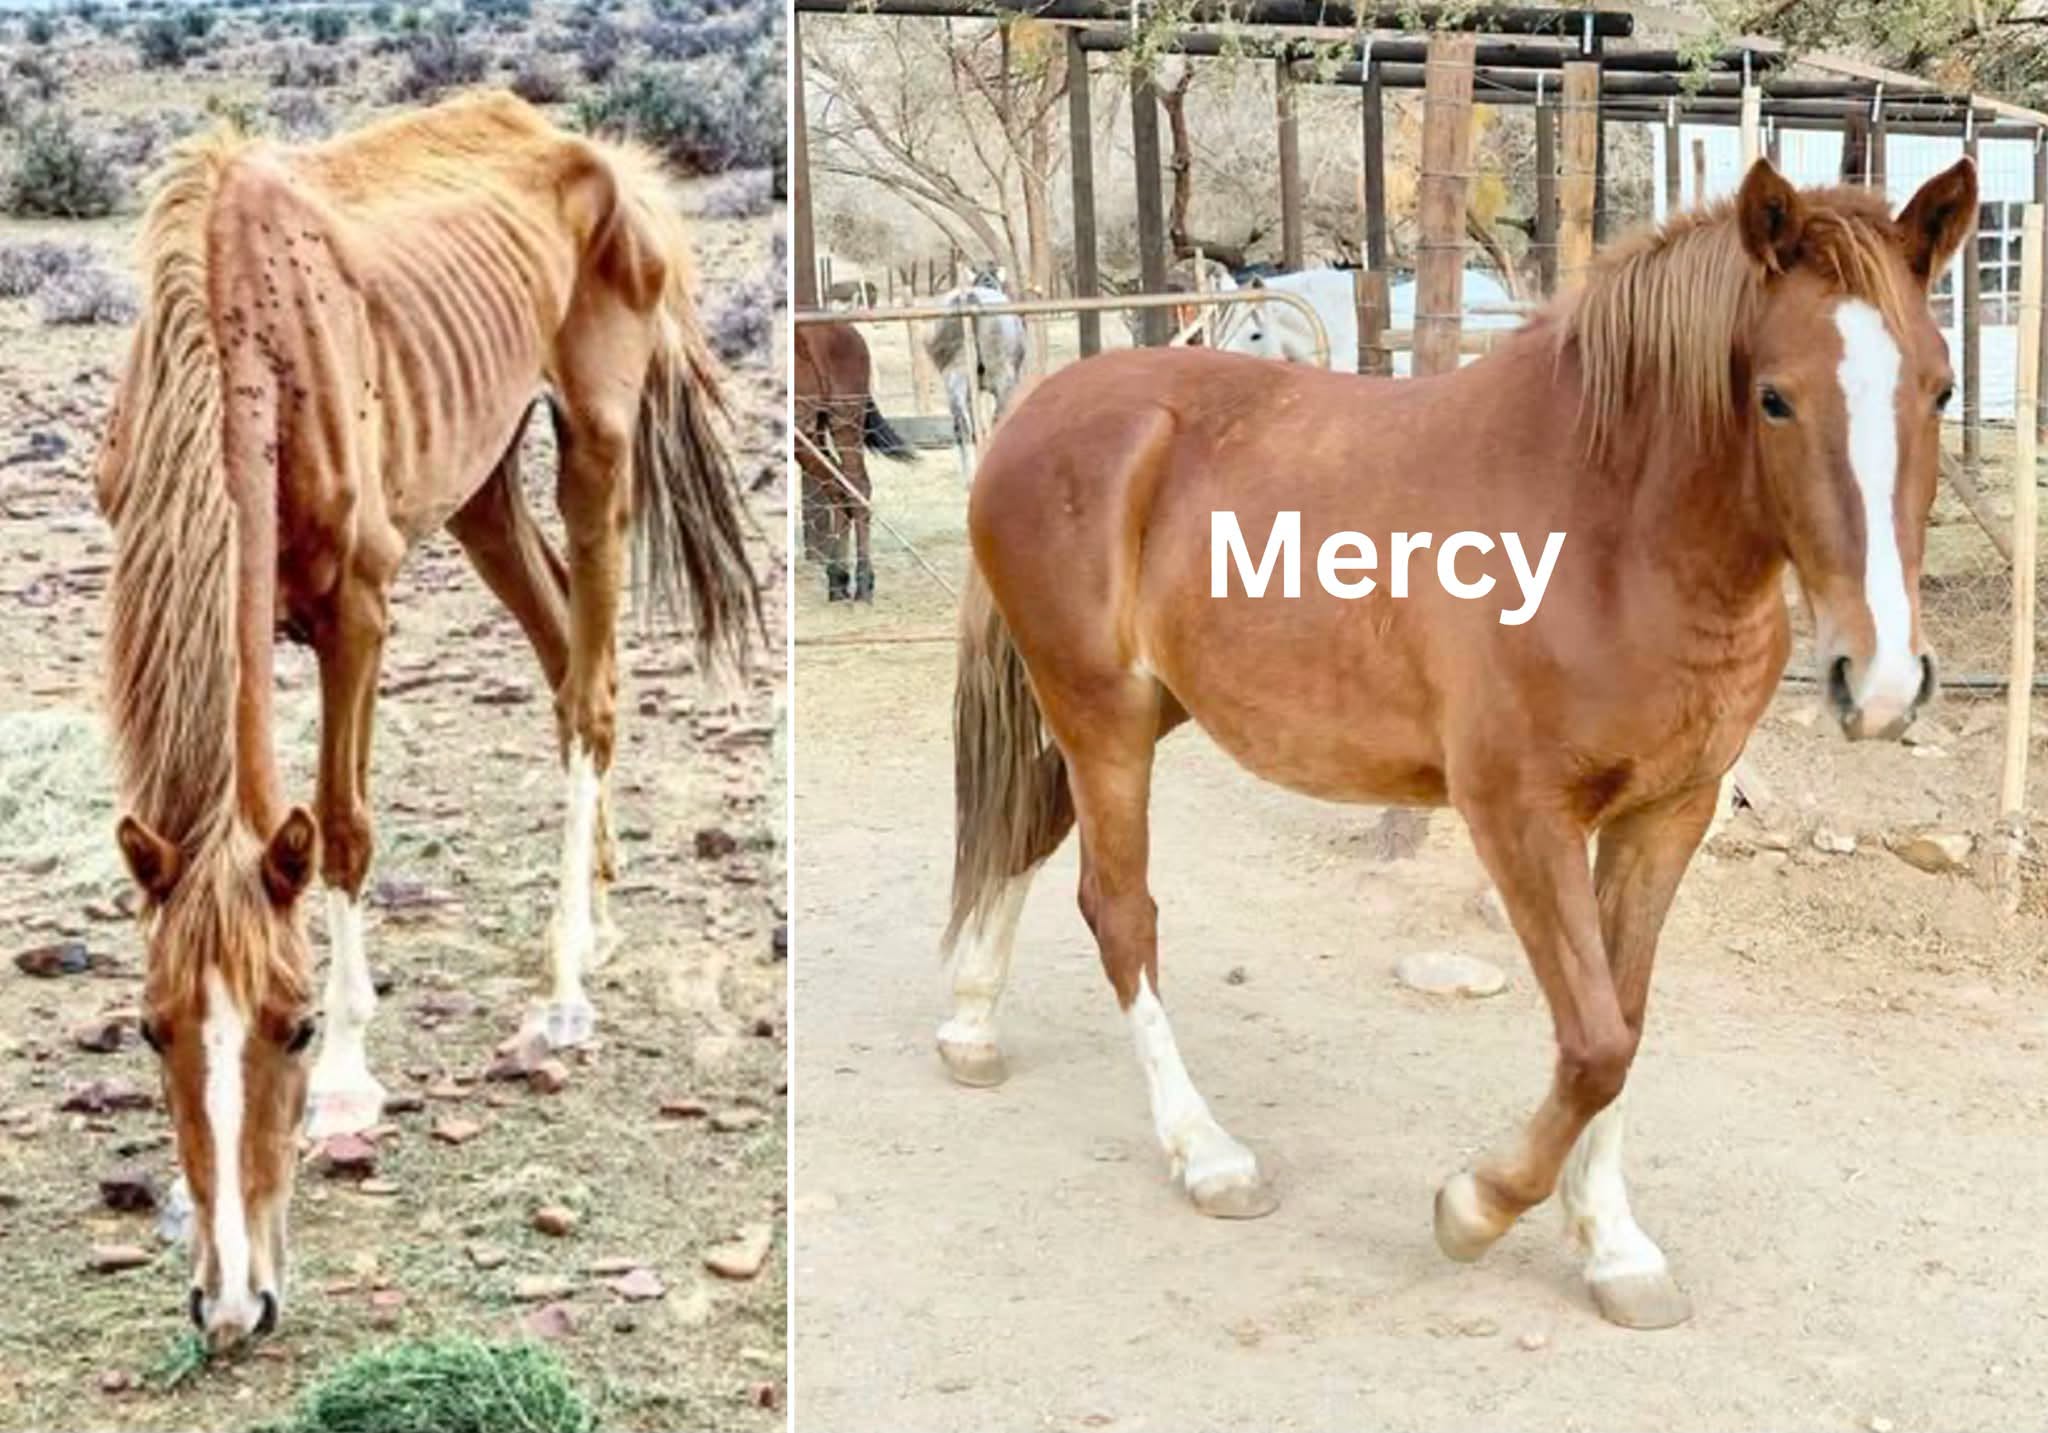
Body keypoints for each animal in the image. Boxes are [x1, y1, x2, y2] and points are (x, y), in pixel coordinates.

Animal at [96, 91, 760, 1349]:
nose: (233, 1303)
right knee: (559, 658)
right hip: (483, 484)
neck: (251, 339)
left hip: (593, 446)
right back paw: (596, 920)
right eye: (153, 1028)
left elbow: (342, 829)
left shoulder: (356, 608)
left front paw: (350, 1081)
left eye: (294, 1025)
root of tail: (604, 159)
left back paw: (562, 991)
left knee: (591, 692)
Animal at [795, 320, 913, 600]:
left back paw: (862, 583)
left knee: (856, 485)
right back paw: (838, 581)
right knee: (839, 486)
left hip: (844, 420)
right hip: (813, 431)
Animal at [924, 263, 1026, 481]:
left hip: (955, 375)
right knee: (997, 420)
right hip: (1002, 377)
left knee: (961, 425)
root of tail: (970, 297)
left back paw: (969, 476)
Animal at [940, 159, 1972, 1329]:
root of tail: (1042, 410)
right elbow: (1594, 1041)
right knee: (1119, 911)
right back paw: (1206, 1152)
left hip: (1135, 709)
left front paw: (1612, 1245)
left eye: (1939, 389)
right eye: (1774, 397)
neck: (1609, 530)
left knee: (1027, 824)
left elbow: (1624, 1021)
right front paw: (1475, 1205)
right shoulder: (1517, 812)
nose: (1880, 681)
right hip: (1103, 714)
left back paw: (970, 1025)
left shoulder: (1669, 811)